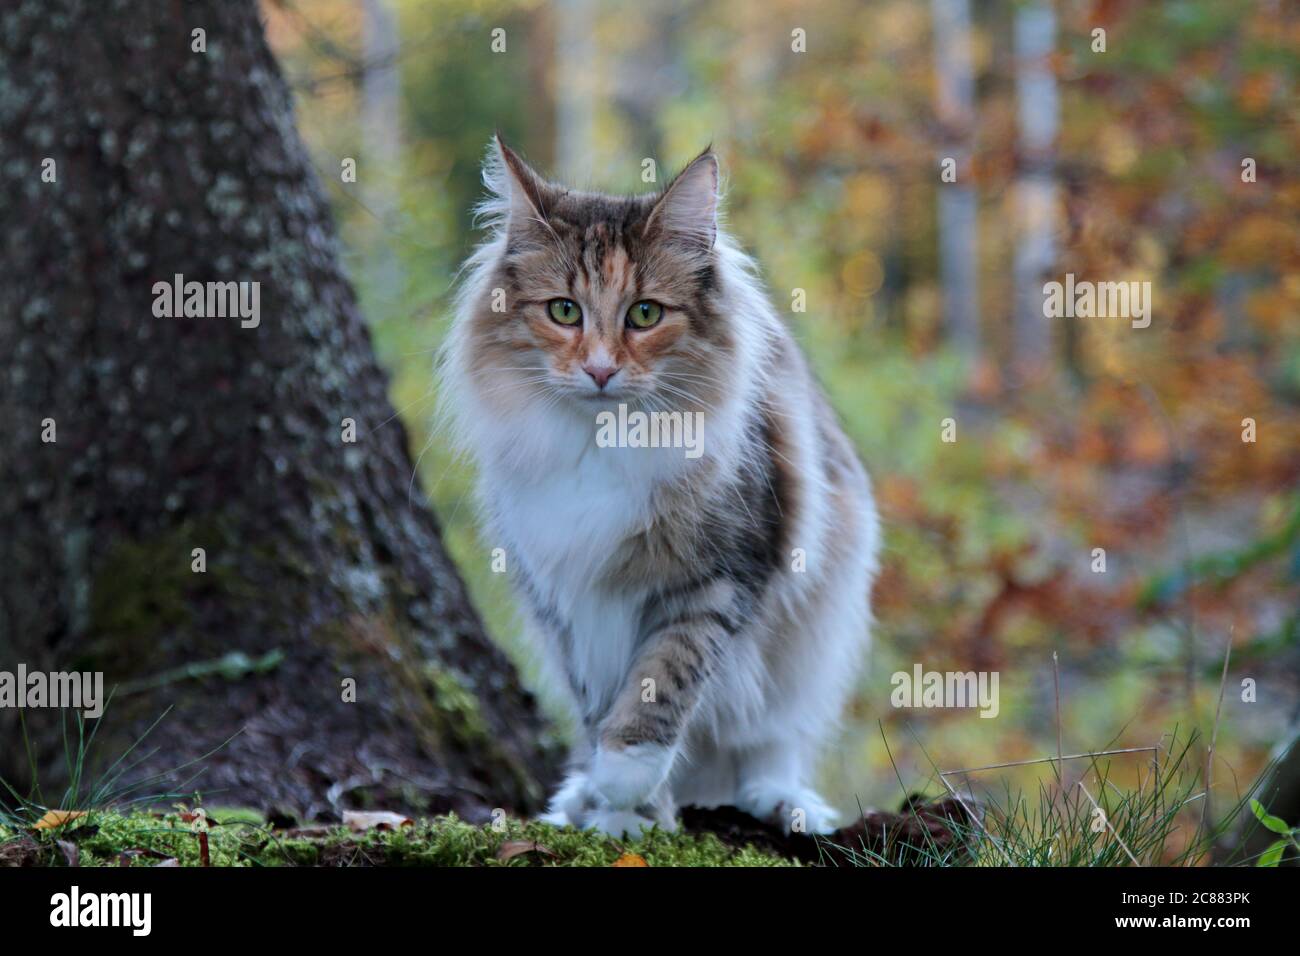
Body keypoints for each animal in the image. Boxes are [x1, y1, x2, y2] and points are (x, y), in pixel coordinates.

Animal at [441, 136, 878, 837]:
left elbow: (662, 681)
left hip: (814, 624)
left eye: (645, 314)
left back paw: (781, 800)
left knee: (770, 738)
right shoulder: (568, 599)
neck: (601, 445)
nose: (599, 370)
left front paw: (625, 790)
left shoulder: (717, 577)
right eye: (564, 311)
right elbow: (598, 704)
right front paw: (614, 808)